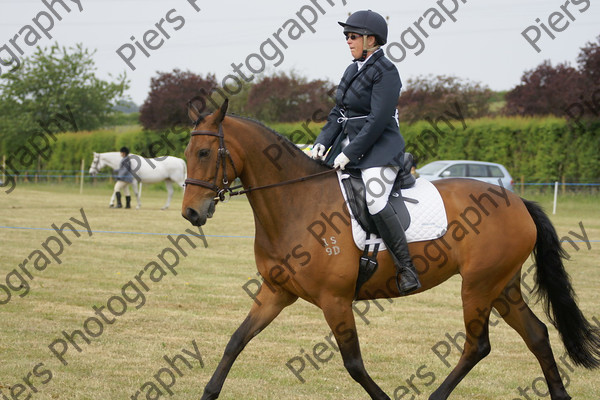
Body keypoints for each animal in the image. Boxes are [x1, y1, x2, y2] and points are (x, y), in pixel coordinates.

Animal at [180, 100, 596, 400]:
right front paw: (209, 392)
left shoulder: (335, 300)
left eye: (205, 153)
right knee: (537, 335)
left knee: (477, 345)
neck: (295, 202)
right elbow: (236, 341)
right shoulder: (276, 292)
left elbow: (353, 363)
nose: (191, 213)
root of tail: (516, 200)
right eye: (186, 152)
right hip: (502, 286)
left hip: (478, 287)